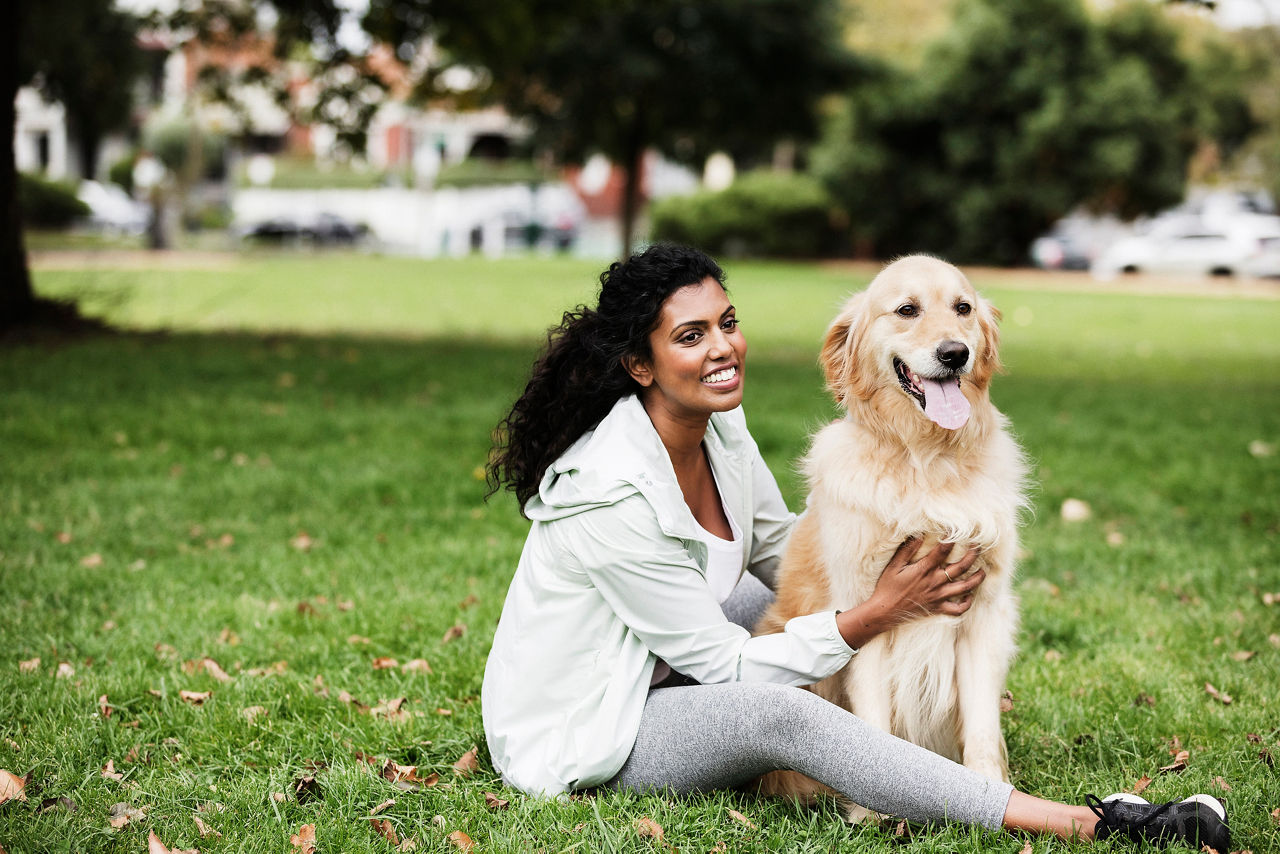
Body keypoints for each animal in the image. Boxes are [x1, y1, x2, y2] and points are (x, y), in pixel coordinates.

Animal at [757, 253, 1029, 819]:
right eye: (907, 310)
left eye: (963, 308)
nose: (954, 353)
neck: (925, 458)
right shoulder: (865, 610)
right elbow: (874, 728)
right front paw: (871, 814)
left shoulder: (983, 611)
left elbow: (982, 728)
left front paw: (988, 790)